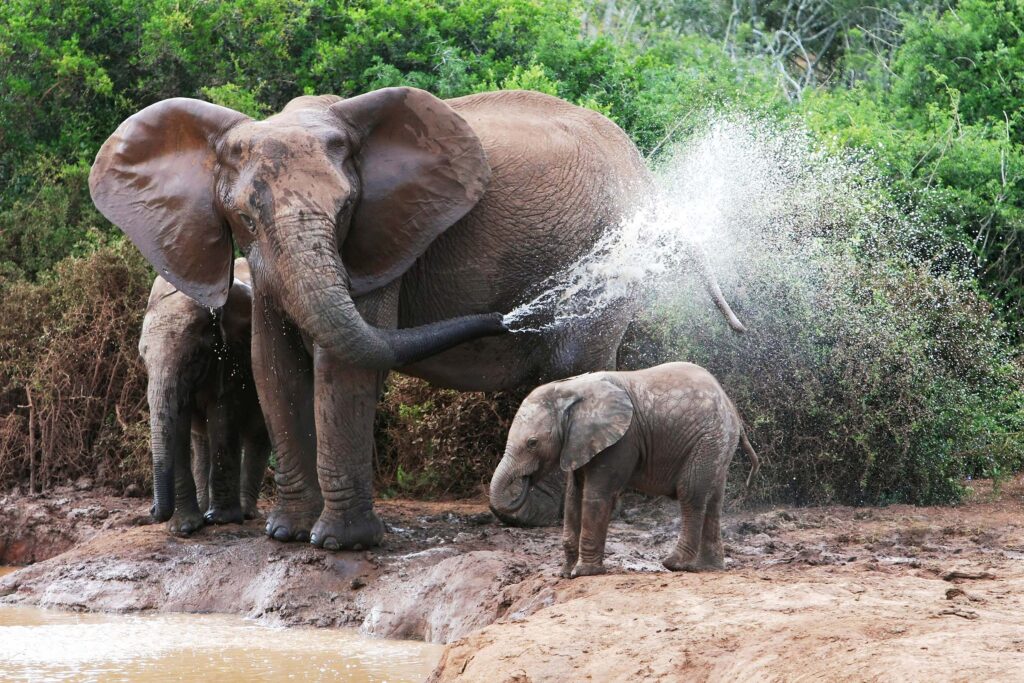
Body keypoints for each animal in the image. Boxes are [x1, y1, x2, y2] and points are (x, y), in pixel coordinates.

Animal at [138, 255, 270, 532]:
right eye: (143, 358)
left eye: (194, 356)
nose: (152, 509)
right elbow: (179, 424)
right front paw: (185, 528)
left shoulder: (232, 356)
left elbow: (222, 414)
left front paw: (221, 520)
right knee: (201, 440)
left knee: (257, 434)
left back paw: (246, 513)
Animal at [487, 360, 761, 581]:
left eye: (532, 443)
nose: (524, 481)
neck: (571, 389)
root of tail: (732, 407)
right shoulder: (579, 443)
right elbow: (573, 497)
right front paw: (565, 574)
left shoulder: (621, 441)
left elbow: (596, 496)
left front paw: (584, 573)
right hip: (718, 444)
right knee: (713, 499)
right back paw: (708, 567)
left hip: (708, 439)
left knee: (691, 494)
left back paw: (674, 564)